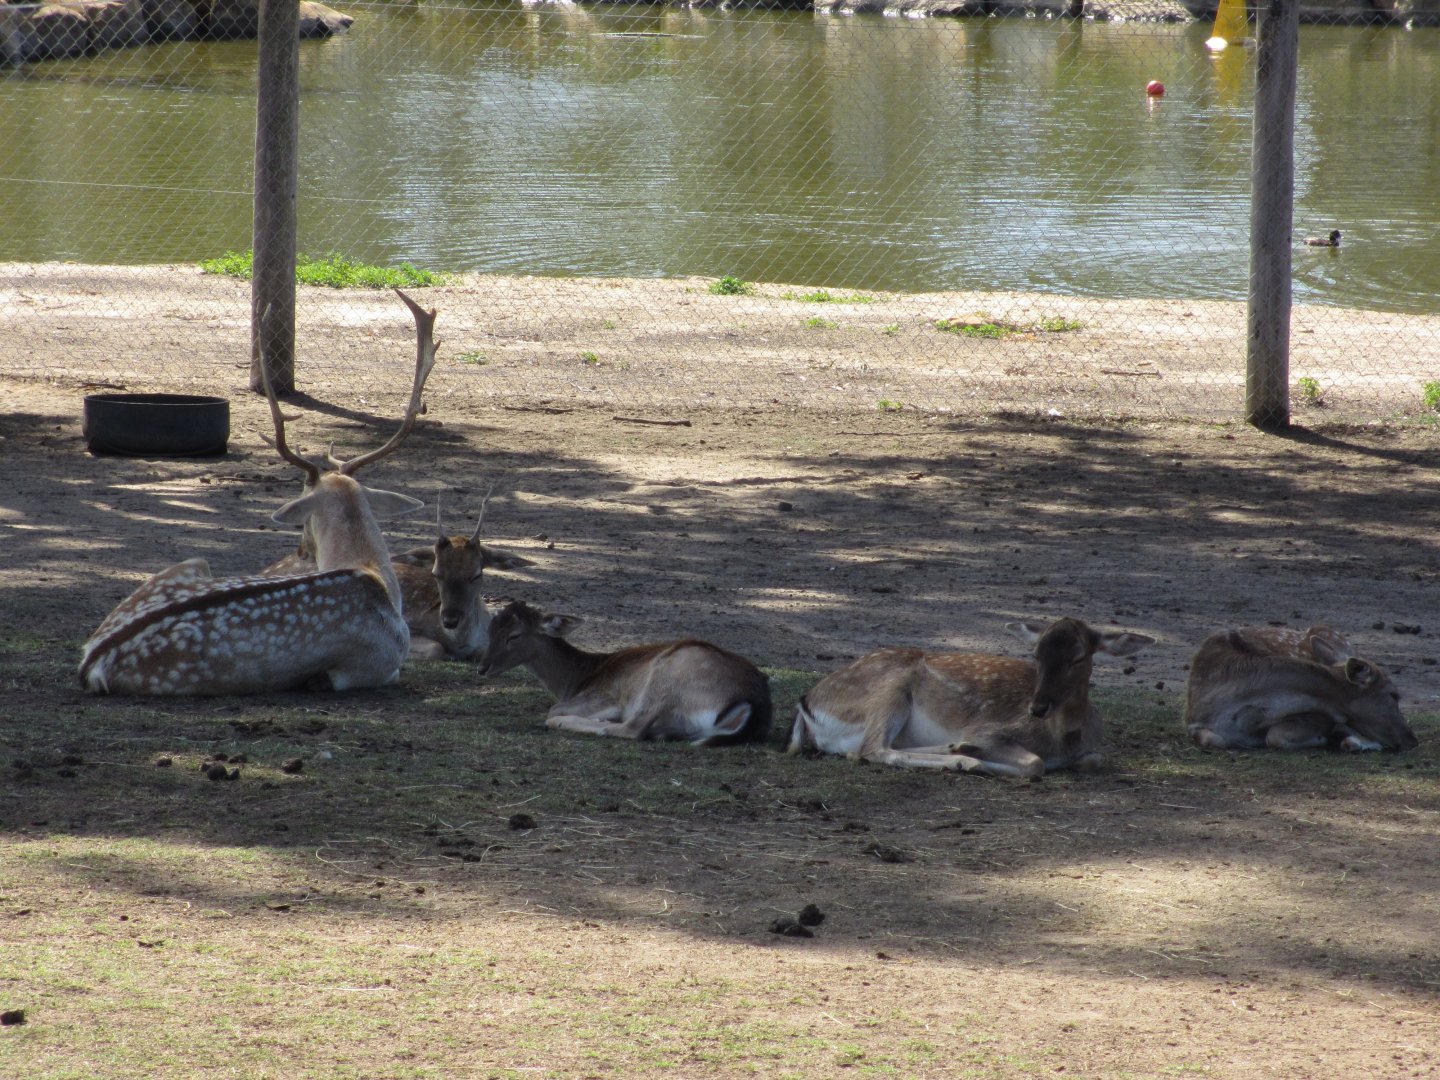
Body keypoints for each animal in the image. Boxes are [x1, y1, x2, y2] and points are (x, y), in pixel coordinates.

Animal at [475, 599, 773, 746]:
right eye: (491, 628)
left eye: (514, 635)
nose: (482, 667)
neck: (575, 679)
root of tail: (752, 706)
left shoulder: (605, 694)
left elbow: (553, 709)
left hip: (667, 678)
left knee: (633, 728)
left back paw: (584, 725)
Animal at [789, 617, 1153, 777]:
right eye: (1036, 653)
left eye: (1078, 658)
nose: (1037, 707)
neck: (1064, 739)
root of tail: (807, 706)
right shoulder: (989, 728)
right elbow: (1034, 765)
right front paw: (979, 757)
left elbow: (1093, 759)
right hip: (890, 691)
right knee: (871, 749)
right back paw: (964, 757)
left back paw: (958, 749)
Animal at [1184, 625, 1418, 752]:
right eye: (1394, 695)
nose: (1412, 738)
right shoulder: (1194, 723)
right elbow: (1217, 740)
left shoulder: (1319, 715)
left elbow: (1274, 736)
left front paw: (1322, 738)